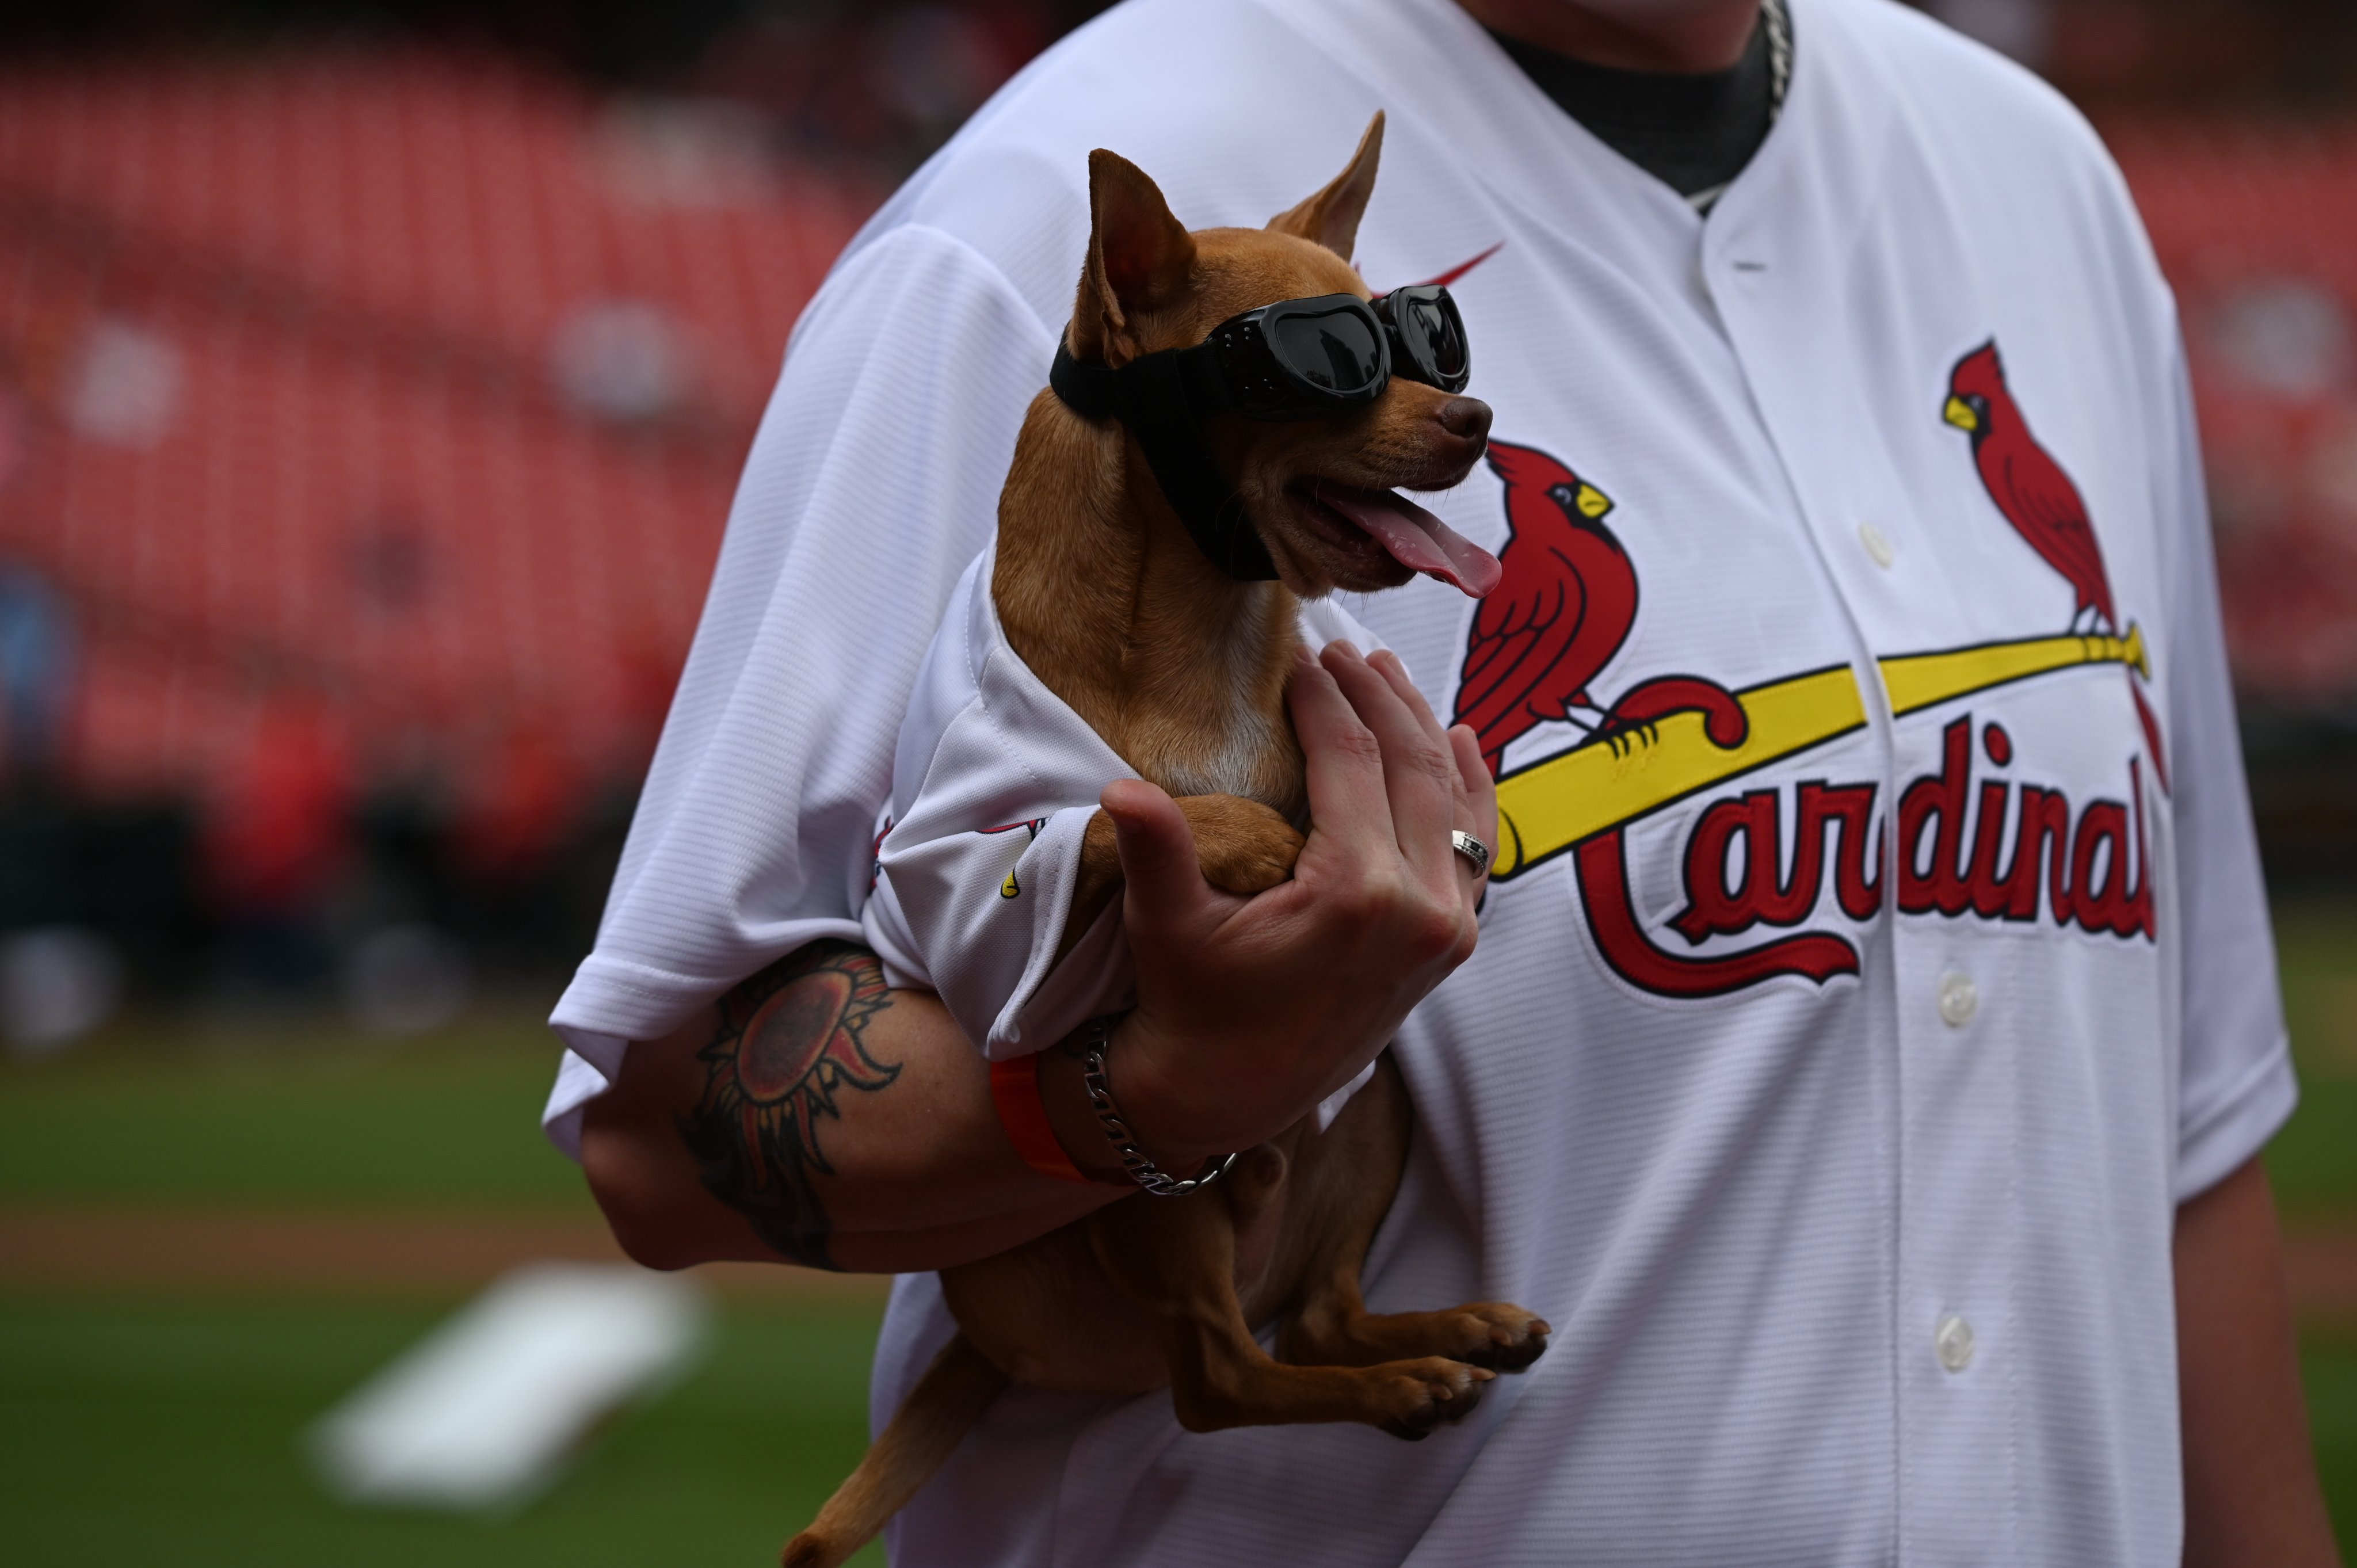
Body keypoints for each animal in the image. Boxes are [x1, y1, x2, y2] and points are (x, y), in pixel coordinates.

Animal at [787, 113, 1546, 1565]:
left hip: (1372, 1110)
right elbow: (1130, 820)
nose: (1476, 418)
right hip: (1157, 1200)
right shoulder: (967, 882)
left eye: (1425, 341)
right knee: (1219, 1377)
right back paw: (1395, 1383)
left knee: (1313, 1316)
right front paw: (1263, 849)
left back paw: (1441, 1334)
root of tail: (990, 1338)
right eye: (1324, 365)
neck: (1215, 633)